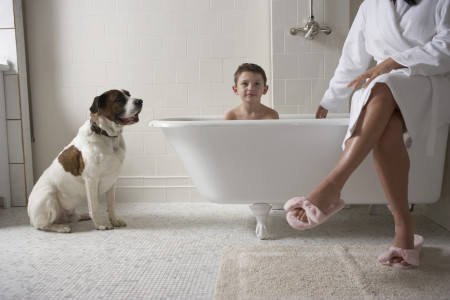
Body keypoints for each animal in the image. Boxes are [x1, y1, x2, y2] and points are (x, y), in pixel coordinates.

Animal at [27, 88, 142, 233]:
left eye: (129, 94)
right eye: (118, 99)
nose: (140, 101)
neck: (105, 134)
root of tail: (29, 215)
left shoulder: (112, 181)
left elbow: (111, 205)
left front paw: (114, 221)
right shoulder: (91, 180)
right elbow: (95, 207)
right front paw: (100, 224)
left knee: (69, 217)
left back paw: (81, 216)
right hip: (48, 195)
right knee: (42, 225)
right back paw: (61, 228)